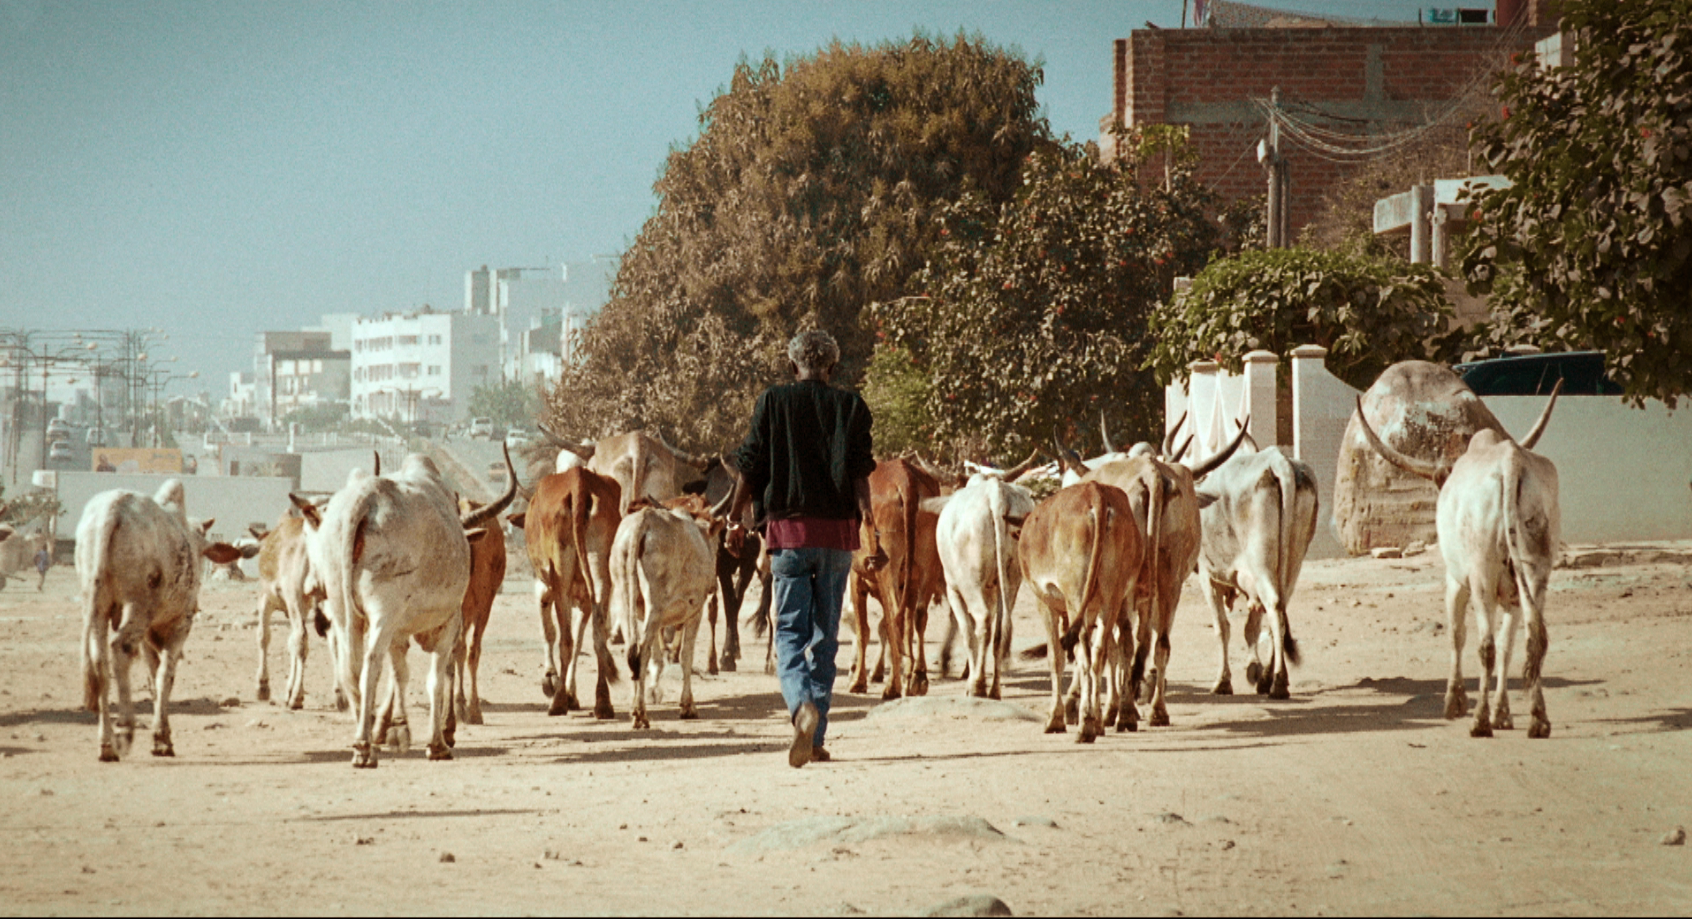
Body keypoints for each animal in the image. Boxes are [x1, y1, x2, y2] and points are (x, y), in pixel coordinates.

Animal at [77, 480, 241, 761]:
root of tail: (112, 509)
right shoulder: (179, 625)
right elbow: (165, 676)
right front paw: (161, 739)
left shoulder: (148, 635)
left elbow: (153, 678)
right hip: (138, 607)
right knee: (119, 650)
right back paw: (125, 731)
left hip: (97, 605)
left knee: (100, 663)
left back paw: (106, 743)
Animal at [291, 456, 487, 764]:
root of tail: (365, 497)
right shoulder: (448, 622)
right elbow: (434, 680)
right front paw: (436, 743)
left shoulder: (398, 630)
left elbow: (401, 673)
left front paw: (397, 730)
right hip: (383, 610)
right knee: (371, 663)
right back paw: (364, 745)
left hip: (344, 608)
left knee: (350, 668)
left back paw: (365, 737)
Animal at [1191, 446, 1319, 697]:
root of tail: (1279, 462)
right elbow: (1251, 628)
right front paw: (1253, 669)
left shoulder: (1208, 576)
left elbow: (1222, 628)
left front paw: (1222, 681)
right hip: (1291, 562)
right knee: (1279, 611)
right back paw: (1269, 678)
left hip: (1261, 562)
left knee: (1274, 605)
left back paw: (1278, 682)